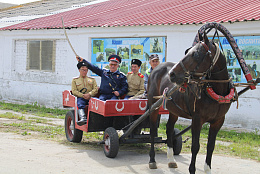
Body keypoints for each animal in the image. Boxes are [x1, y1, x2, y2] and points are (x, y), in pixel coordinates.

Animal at [147, 32, 233, 173]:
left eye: (196, 54)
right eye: (187, 51)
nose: (172, 74)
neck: (216, 91)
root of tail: (157, 67)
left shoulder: (218, 121)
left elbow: (210, 146)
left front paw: (208, 169)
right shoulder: (197, 120)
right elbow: (195, 146)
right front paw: (192, 169)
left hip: (174, 109)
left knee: (169, 129)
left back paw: (171, 159)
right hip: (153, 106)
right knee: (153, 131)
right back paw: (152, 160)